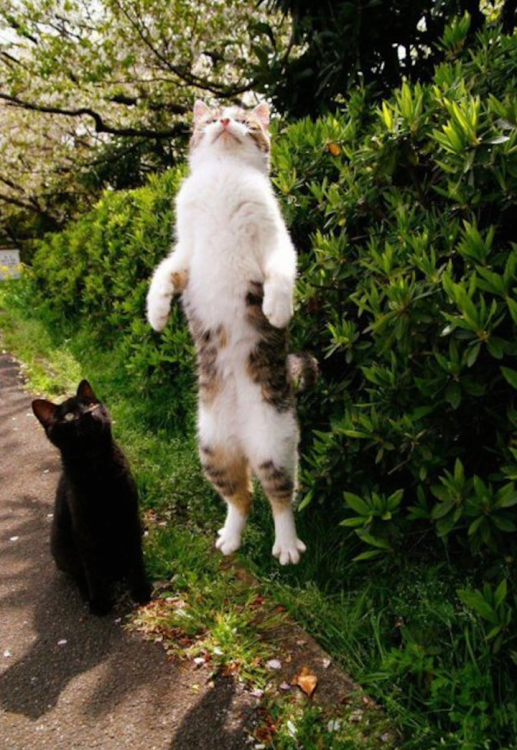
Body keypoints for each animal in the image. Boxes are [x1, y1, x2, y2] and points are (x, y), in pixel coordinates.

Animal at [32, 382, 150, 616]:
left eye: (91, 404)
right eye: (69, 416)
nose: (88, 413)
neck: (98, 468)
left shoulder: (128, 517)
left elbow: (134, 557)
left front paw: (140, 589)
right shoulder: (85, 530)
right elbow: (92, 569)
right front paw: (99, 601)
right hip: (62, 547)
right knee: (79, 573)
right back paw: (87, 592)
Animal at [143, 103, 316, 568]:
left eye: (245, 119)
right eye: (210, 118)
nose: (223, 121)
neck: (223, 176)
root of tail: (243, 438)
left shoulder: (275, 238)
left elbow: (282, 269)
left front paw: (277, 308)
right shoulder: (184, 250)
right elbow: (163, 273)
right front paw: (157, 313)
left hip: (275, 443)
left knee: (279, 497)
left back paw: (287, 545)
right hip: (212, 449)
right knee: (241, 497)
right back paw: (230, 537)